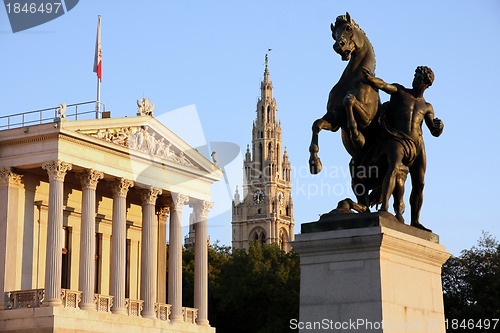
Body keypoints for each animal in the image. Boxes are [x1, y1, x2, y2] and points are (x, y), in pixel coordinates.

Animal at [308, 13, 378, 202]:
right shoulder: (334, 119)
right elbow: (316, 124)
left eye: (348, 28)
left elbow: (349, 100)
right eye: (334, 34)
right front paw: (314, 163)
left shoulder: (368, 117)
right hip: (355, 171)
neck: (353, 78)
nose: (338, 46)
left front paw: (357, 137)